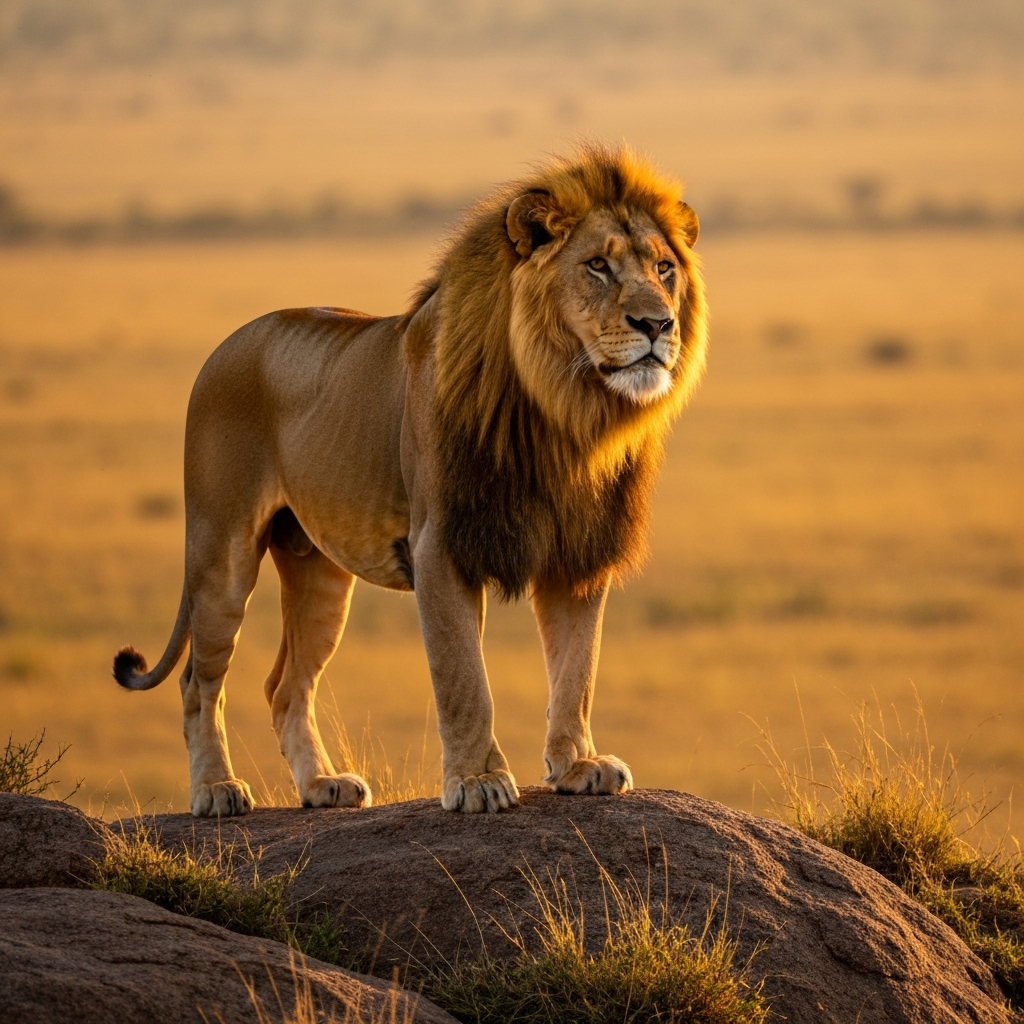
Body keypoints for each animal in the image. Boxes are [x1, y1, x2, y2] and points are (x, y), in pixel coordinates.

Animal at [112, 144, 708, 817]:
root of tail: (224, 347)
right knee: (199, 679)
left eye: (664, 268)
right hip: (222, 549)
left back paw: (322, 786)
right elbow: (464, 678)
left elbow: (577, 668)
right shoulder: (439, 545)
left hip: (318, 571)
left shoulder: (576, 552)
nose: (658, 325)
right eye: (598, 266)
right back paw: (216, 790)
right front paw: (477, 781)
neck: (565, 410)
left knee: (285, 684)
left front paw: (579, 764)